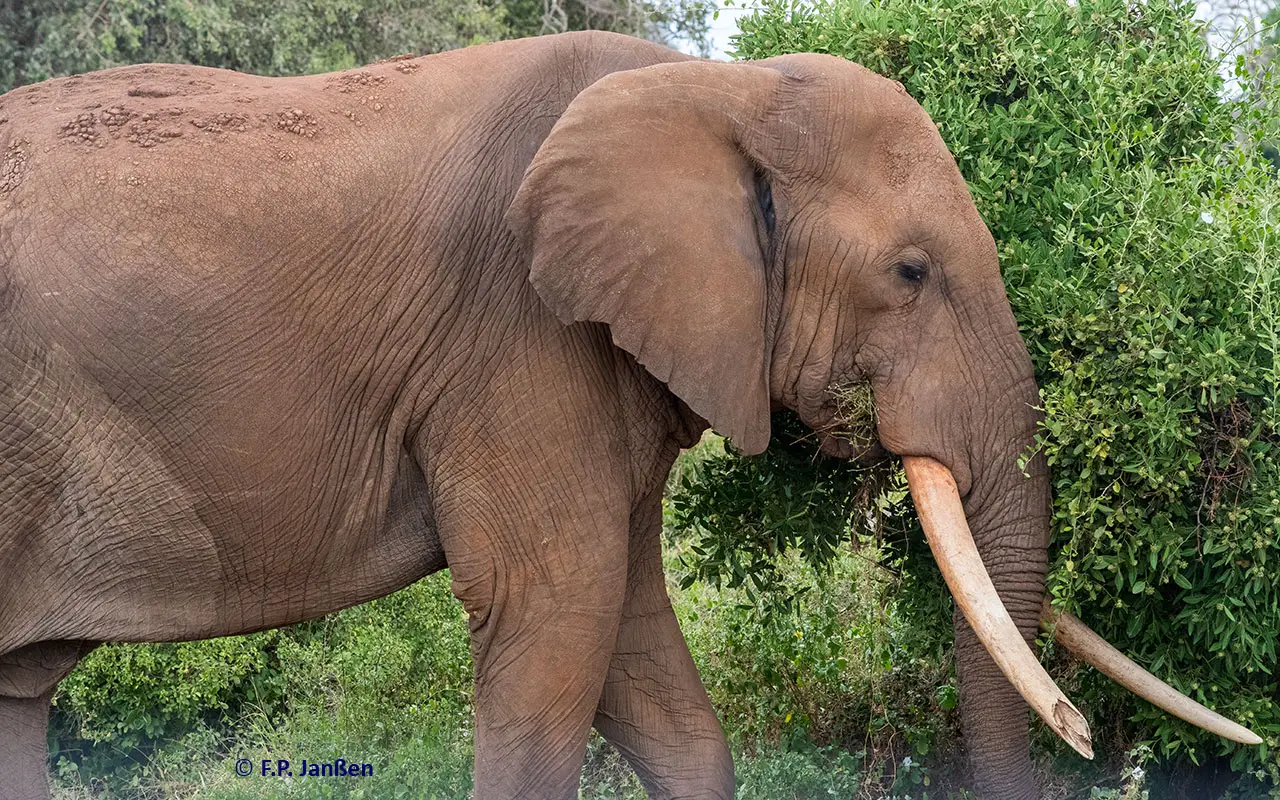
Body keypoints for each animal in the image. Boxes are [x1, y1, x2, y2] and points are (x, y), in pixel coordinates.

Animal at [0, 30, 1257, 800]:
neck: (718, 90)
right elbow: (560, 609)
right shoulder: (516, 335)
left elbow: (641, 650)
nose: (1085, 732)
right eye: (907, 272)